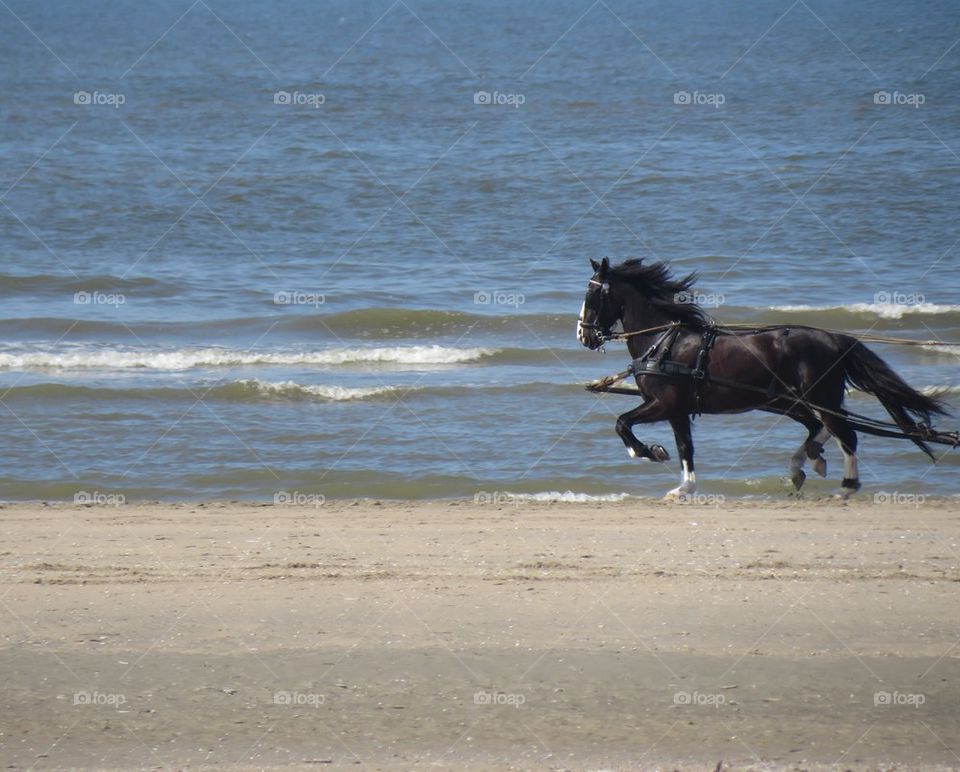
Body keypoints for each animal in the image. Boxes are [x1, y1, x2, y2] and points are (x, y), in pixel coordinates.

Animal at [576, 257, 948, 500]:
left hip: (817, 396)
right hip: (787, 401)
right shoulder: (677, 410)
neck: (664, 342)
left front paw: (650, 452)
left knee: (846, 433)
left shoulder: (664, 404)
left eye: (593, 295)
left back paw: (844, 487)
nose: (584, 335)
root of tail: (835, 338)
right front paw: (684, 486)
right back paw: (805, 464)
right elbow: (685, 447)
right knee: (820, 428)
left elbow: (623, 424)